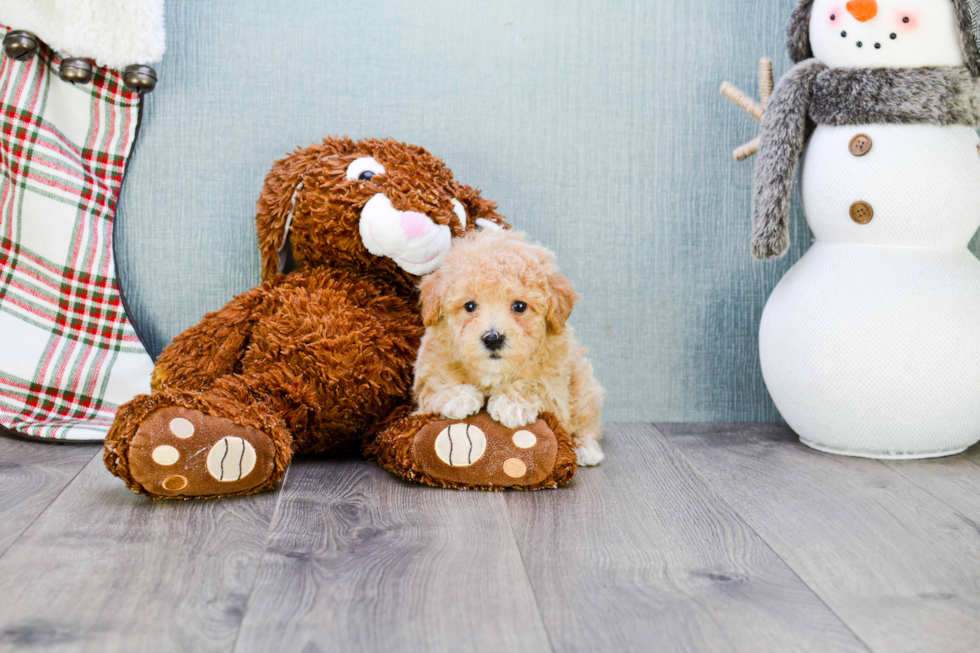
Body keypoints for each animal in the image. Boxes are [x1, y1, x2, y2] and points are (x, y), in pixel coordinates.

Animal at [410, 229, 600, 464]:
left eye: (519, 306)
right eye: (470, 306)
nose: (493, 338)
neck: (492, 373)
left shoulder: (557, 389)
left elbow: (536, 386)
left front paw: (511, 403)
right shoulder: (430, 369)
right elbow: (436, 386)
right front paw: (459, 396)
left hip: (582, 383)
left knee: (586, 420)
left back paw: (585, 448)